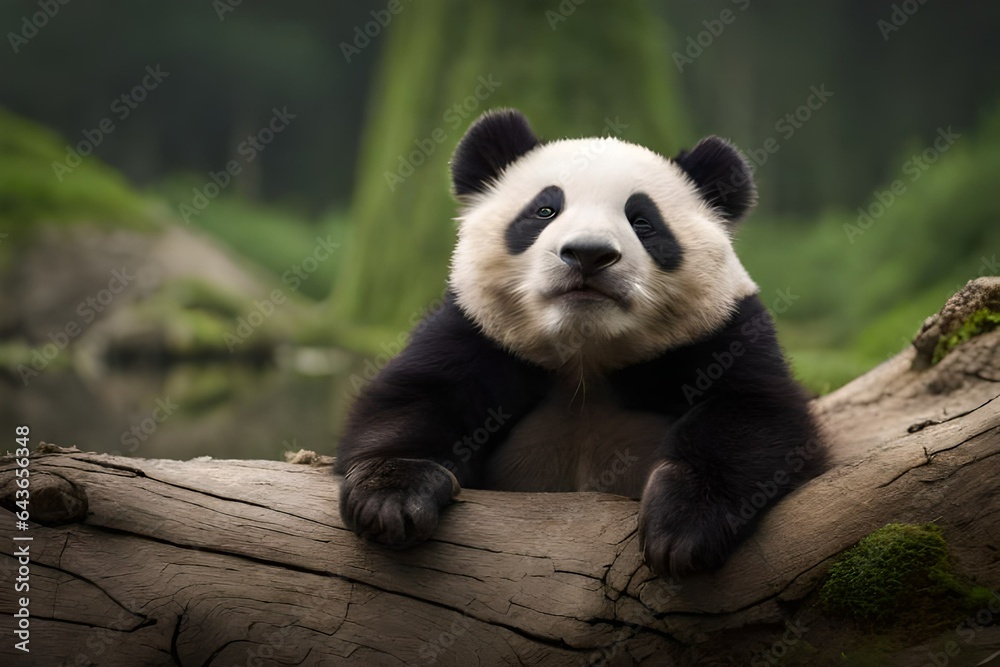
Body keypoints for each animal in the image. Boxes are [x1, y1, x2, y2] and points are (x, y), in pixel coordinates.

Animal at [334, 109, 825, 577]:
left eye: (642, 221)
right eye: (545, 211)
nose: (589, 253)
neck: (585, 355)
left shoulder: (722, 335)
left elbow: (754, 418)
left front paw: (684, 529)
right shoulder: (476, 334)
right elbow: (417, 399)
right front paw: (389, 501)